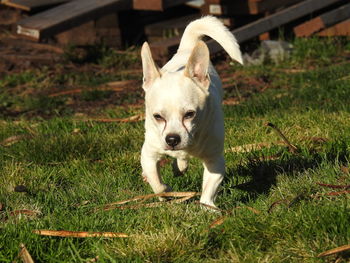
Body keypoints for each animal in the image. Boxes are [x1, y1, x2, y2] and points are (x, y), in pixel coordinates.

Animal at [141, 15, 242, 208]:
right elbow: (156, 183)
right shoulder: (148, 154)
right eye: (157, 117)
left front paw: (208, 208)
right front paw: (165, 192)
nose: (172, 139)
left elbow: (209, 190)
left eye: (190, 114)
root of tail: (187, 48)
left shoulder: (215, 161)